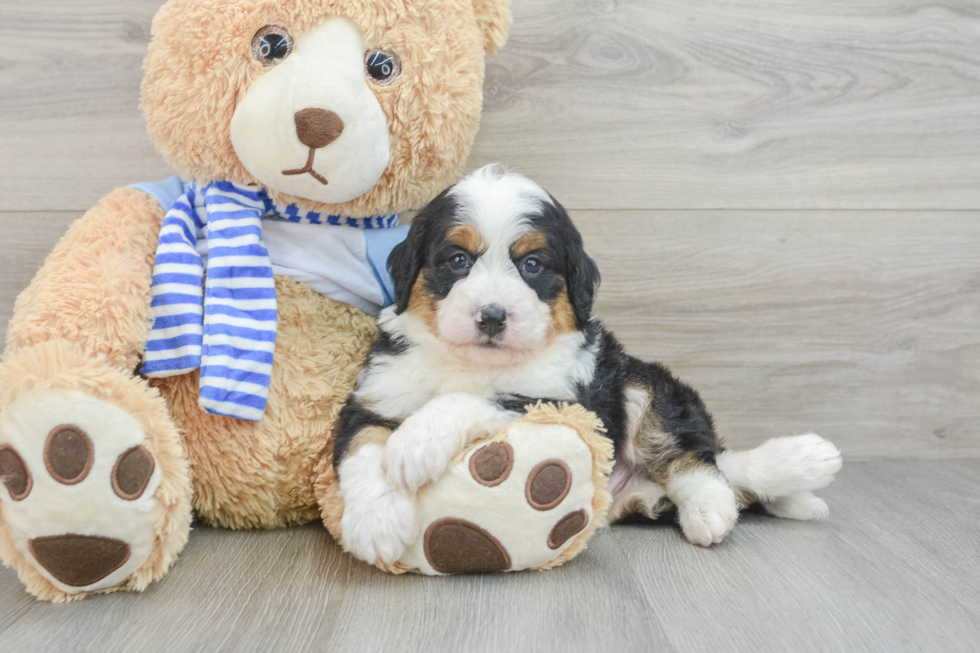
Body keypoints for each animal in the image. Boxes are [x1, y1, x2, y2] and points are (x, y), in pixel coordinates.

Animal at [332, 164, 844, 564]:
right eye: (457, 259)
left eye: (532, 265)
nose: (492, 316)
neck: (470, 362)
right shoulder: (376, 394)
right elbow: (364, 446)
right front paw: (376, 524)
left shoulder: (570, 401)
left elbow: (479, 398)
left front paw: (415, 443)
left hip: (642, 383)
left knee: (698, 458)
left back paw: (722, 503)